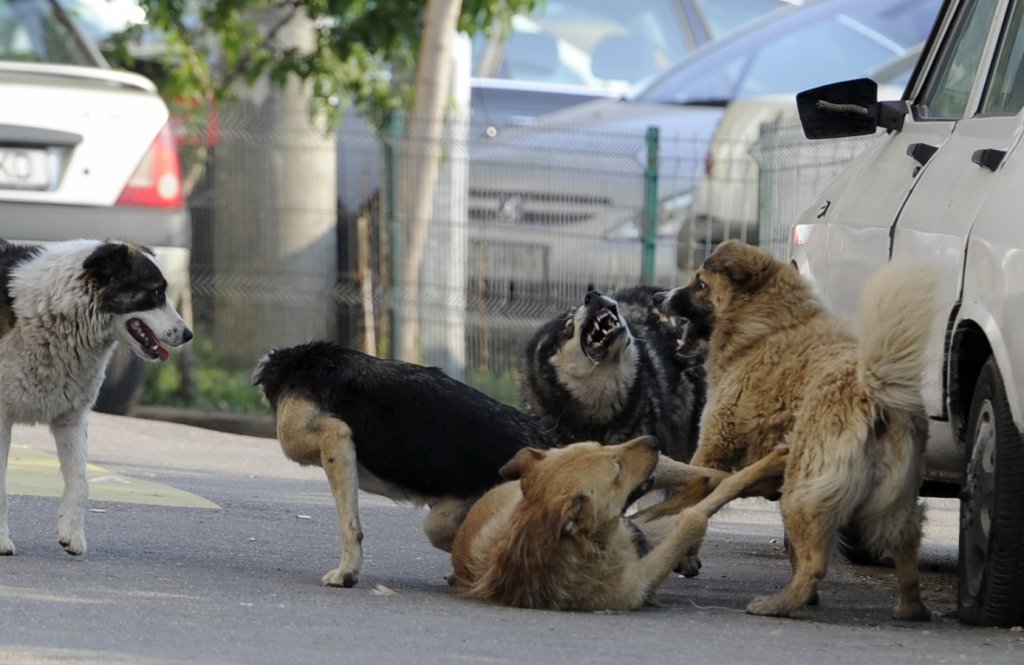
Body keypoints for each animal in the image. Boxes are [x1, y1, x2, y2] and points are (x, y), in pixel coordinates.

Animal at [0, 238, 192, 553]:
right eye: (155, 293)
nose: (188, 335)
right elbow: (1, 486)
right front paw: (2, 540)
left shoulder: (71, 419)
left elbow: (81, 481)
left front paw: (72, 535)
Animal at [446, 432, 782, 610]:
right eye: (617, 468)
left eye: (598, 446)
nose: (653, 438)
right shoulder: (642, 579)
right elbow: (696, 517)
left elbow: (713, 491)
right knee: (706, 486)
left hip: (662, 472)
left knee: (706, 475)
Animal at [643, 240, 937, 618]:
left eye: (701, 284)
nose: (657, 297)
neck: (768, 327)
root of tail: (874, 390)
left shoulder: (712, 449)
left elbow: (690, 498)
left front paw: (681, 551)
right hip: (892, 500)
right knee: (905, 552)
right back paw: (910, 608)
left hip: (802, 492)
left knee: (816, 563)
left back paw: (777, 604)